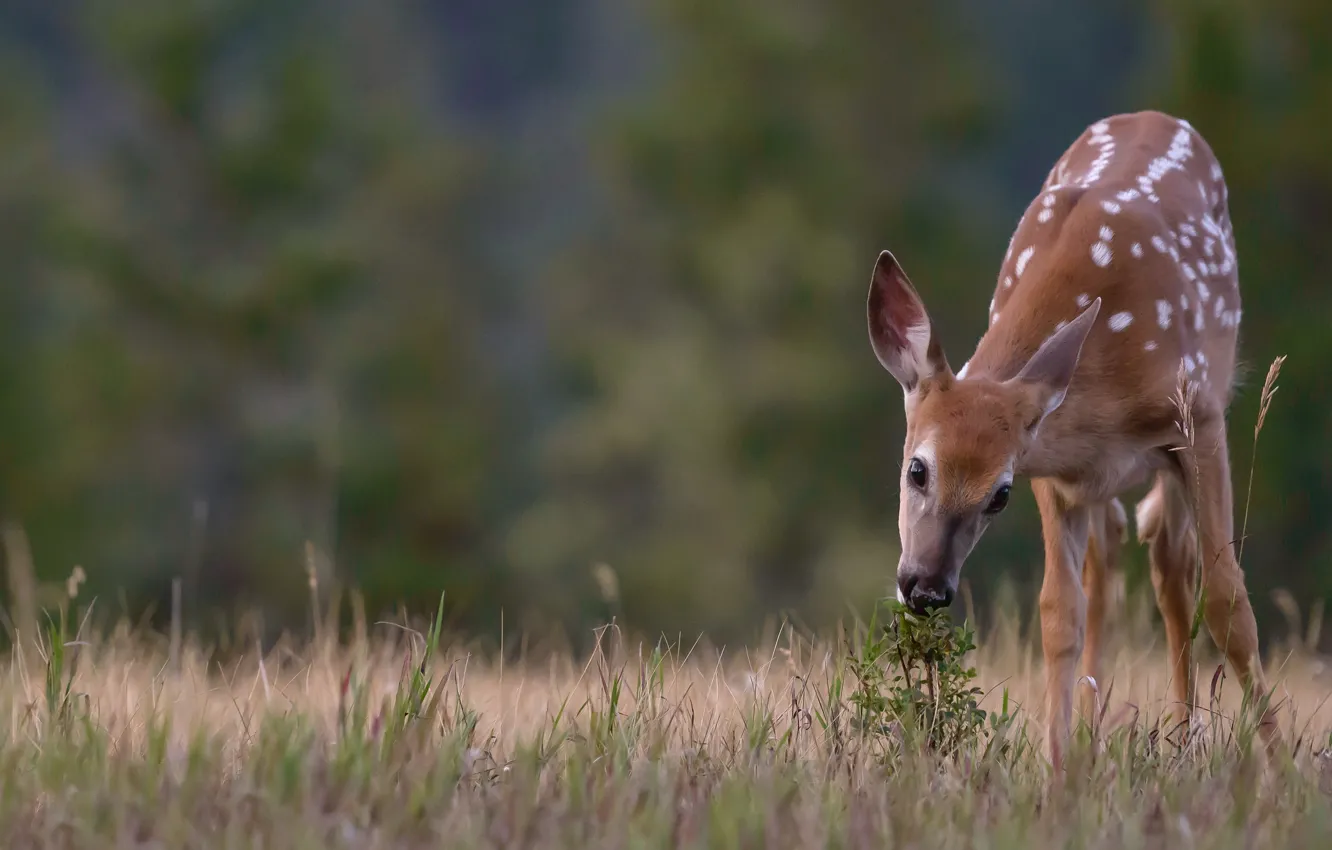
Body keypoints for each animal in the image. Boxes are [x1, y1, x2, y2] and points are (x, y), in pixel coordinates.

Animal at [865, 110, 1280, 771]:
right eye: (917, 469)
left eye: (998, 495)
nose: (927, 588)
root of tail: (1153, 116)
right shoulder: (1054, 470)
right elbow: (1060, 612)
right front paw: (1059, 768)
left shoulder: (1200, 418)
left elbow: (1228, 601)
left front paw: (1283, 761)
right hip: (1100, 485)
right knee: (1118, 557)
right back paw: (1099, 736)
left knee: (1172, 565)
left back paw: (1183, 737)